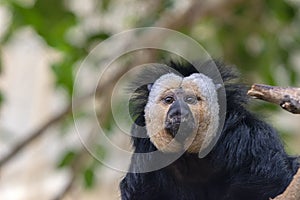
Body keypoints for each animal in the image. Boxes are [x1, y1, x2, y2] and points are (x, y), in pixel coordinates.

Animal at [119, 60, 298, 200]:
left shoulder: (248, 137)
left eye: (190, 99)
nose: (178, 112)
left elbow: (273, 179)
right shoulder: (146, 157)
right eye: (169, 100)